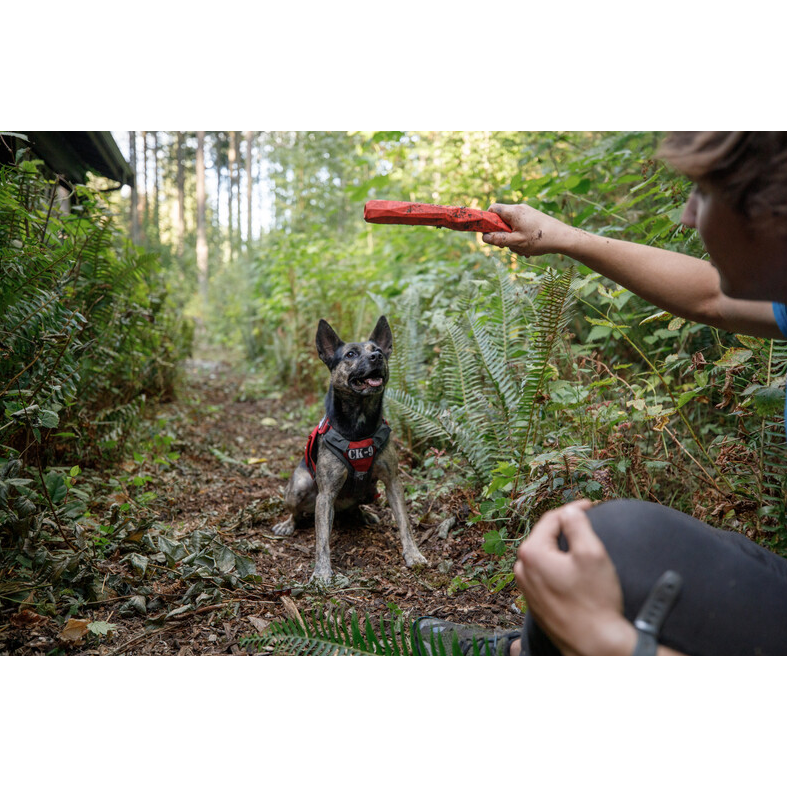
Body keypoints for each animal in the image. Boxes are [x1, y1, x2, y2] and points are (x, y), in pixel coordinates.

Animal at [274, 316, 428, 584]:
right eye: (350, 354)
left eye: (378, 351)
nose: (377, 356)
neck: (359, 424)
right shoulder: (325, 494)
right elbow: (321, 539)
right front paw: (322, 571)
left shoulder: (393, 482)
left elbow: (405, 523)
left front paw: (413, 554)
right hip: (299, 487)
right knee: (296, 512)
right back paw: (288, 524)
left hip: (371, 491)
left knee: (357, 506)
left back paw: (364, 514)